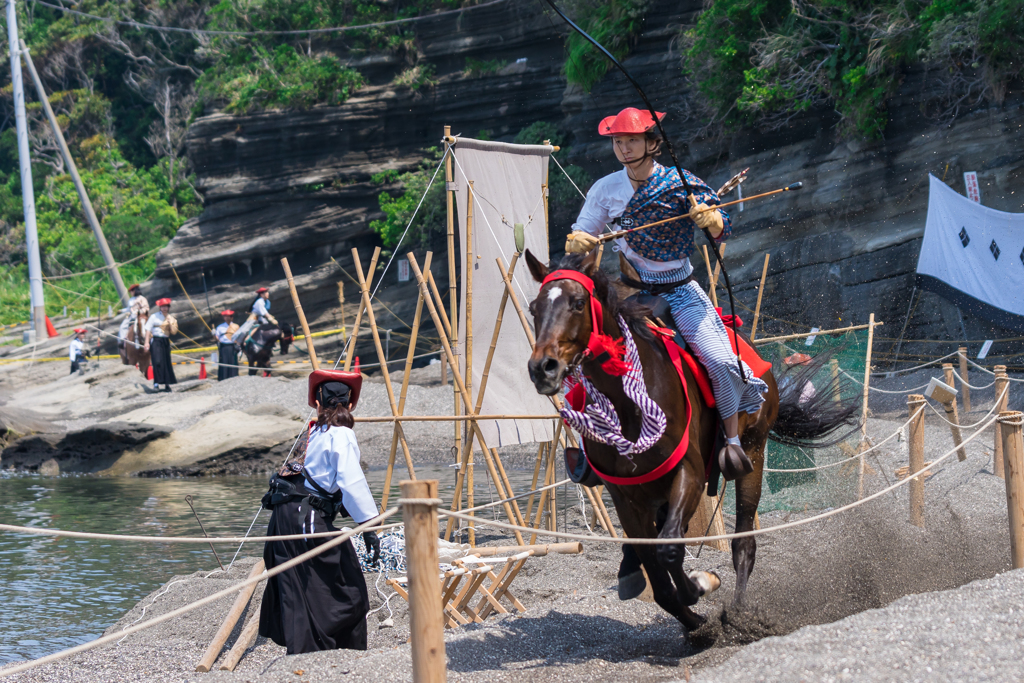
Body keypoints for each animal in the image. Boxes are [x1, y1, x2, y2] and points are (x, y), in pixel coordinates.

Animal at [528, 249, 856, 630]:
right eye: (534, 308)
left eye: (578, 303)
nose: (543, 368)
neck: (628, 407)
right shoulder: (625, 497)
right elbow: (657, 569)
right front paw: (692, 620)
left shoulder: (690, 472)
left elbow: (669, 548)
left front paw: (701, 586)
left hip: (753, 450)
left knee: (742, 542)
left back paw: (739, 612)